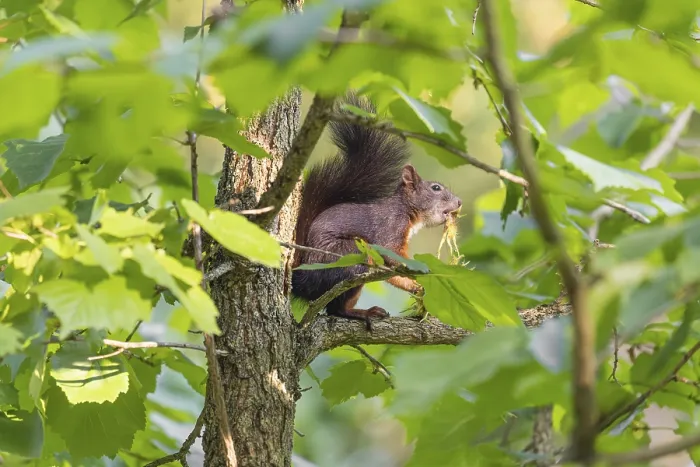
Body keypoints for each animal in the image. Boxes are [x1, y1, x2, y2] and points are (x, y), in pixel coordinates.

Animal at [291, 93, 462, 326]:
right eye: (436, 188)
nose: (459, 202)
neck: (404, 207)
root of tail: (303, 280)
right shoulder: (390, 227)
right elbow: (392, 253)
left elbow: (392, 273)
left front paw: (415, 286)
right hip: (350, 255)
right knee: (336, 308)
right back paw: (363, 313)